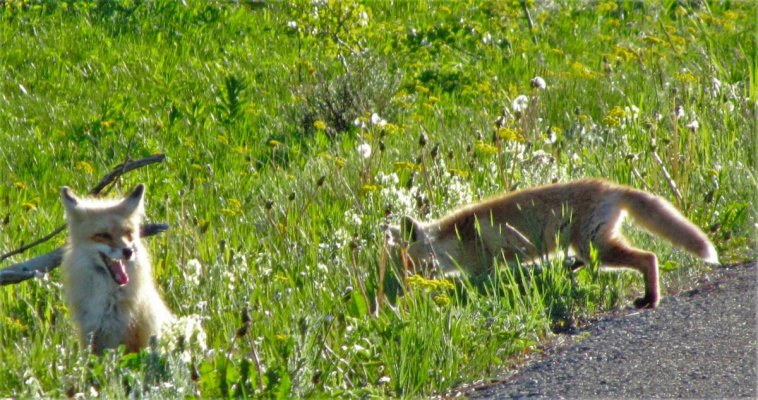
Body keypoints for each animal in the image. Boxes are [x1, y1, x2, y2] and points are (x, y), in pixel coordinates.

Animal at [60, 184, 174, 354]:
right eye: (103, 235)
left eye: (128, 233)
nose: (128, 251)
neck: (108, 300)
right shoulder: (90, 335)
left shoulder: (129, 336)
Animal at [388, 179, 720, 310]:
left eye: (408, 264)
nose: (401, 290)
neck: (457, 238)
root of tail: (611, 187)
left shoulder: (489, 264)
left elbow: (488, 283)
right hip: (588, 247)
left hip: (596, 248)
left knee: (648, 257)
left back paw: (650, 298)